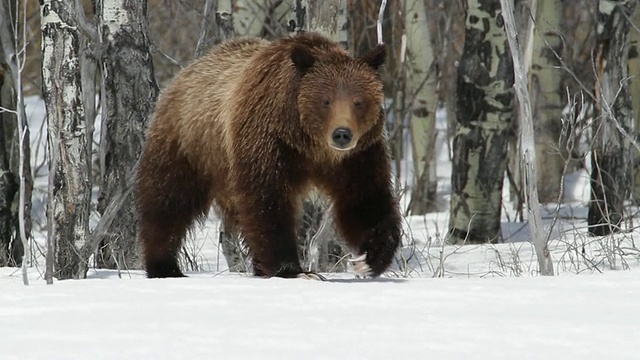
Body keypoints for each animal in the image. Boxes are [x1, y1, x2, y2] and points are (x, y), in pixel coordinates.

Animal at [138, 31, 402, 278]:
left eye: (358, 102)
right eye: (325, 101)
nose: (342, 134)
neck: (309, 145)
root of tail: (185, 73)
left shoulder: (358, 155)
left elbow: (365, 199)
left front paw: (369, 258)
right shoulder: (267, 139)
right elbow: (266, 199)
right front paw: (291, 268)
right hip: (189, 145)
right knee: (168, 201)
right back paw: (164, 266)